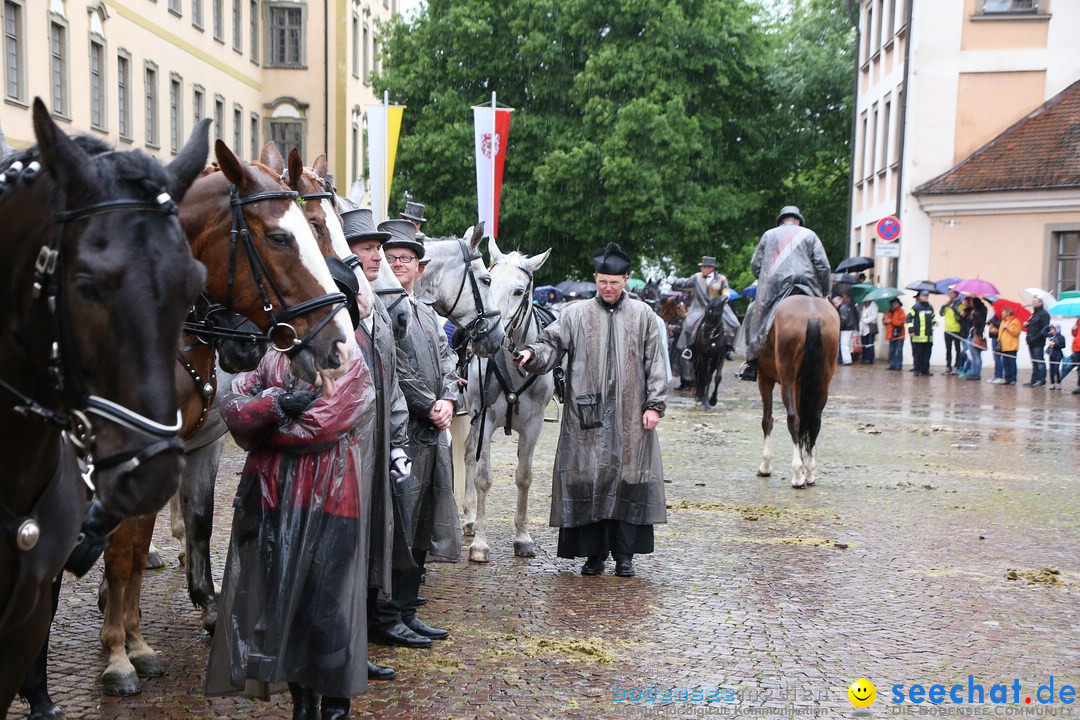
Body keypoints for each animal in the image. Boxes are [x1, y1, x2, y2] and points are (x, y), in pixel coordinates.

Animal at [0, 101, 208, 720]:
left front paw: (134, 646)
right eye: (87, 285)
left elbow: (134, 553)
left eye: (192, 281)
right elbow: (122, 557)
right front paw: (119, 656)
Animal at [457, 240, 557, 561]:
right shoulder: (484, 418)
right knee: (469, 457)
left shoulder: (534, 424)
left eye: (518, 290)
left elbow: (524, 477)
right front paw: (480, 543)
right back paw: (470, 519)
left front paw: (522, 538)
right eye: (489, 281)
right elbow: (483, 477)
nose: (490, 334)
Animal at [756, 293, 838, 490]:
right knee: (814, 421)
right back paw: (808, 472)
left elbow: (767, 421)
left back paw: (797, 474)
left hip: (787, 380)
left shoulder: (765, 379)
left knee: (793, 419)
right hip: (821, 383)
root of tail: (813, 315)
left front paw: (765, 465)